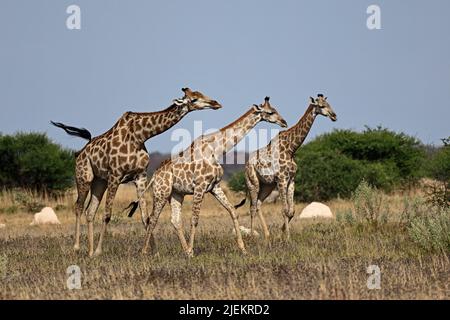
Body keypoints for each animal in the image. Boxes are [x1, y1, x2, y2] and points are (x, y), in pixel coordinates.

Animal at [52, 87, 221, 258]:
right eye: (194, 99)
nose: (216, 103)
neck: (139, 135)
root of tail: (80, 152)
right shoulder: (115, 175)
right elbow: (107, 214)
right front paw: (100, 250)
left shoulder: (140, 176)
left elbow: (145, 217)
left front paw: (154, 252)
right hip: (84, 177)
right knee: (78, 207)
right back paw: (78, 247)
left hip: (100, 181)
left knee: (90, 211)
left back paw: (90, 252)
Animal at [128, 96, 286, 256]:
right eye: (270, 112)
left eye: (275, 109)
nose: (284, 122)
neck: (216, 150)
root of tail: (155, 175)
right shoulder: (200, 186)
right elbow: (194, 219)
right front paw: (192, 251)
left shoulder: (215, 186)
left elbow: (233, 211)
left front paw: (243, 249)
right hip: (161, 192)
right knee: (152, 219)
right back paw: (145, 252)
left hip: (176, 193)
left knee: (175, 220)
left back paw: (183, 251)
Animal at [236, 94, 338, 240]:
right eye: (321, 106)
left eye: (329, 104)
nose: (334, 116)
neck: (291, 148)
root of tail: (246, 164)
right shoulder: (282, 180)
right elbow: (284, 210)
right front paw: (287, 238)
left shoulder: (292, 180)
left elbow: (292, 211)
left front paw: (281, 234)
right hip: (252, 182)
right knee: (252, 207)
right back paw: (251, 235)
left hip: (267, 185)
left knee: (259, 204)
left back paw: (267, 235)